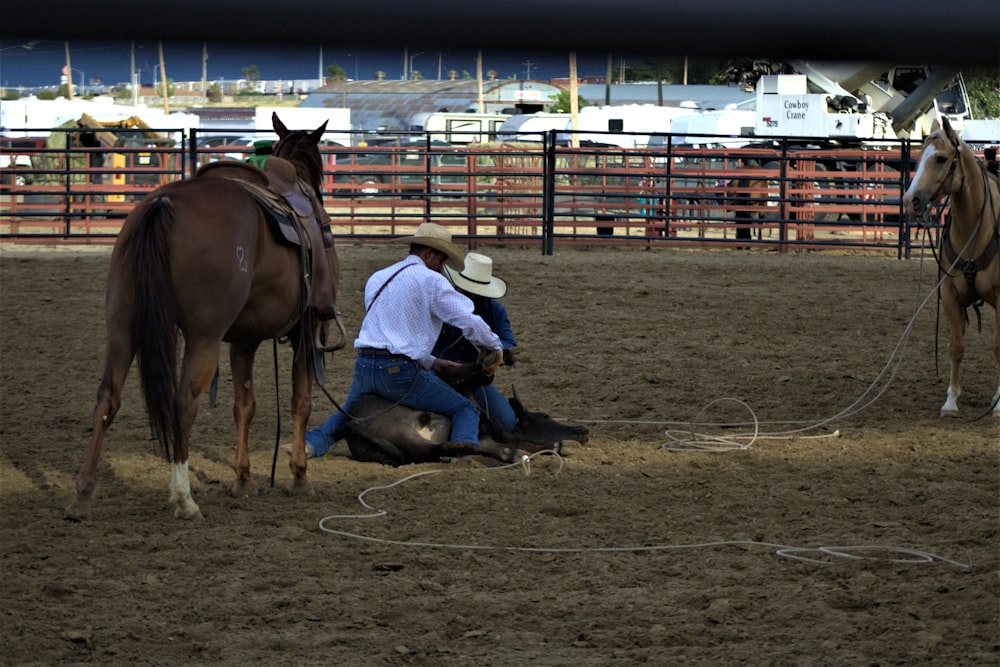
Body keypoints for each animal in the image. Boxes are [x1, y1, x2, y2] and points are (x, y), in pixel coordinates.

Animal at [67, 113, 348, 520]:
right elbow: (302, 401)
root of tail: (164, 203)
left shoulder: (244, 339)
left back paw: (83, 495)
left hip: (123, 326)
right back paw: (183, 498)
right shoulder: (306, 332)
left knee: (107, 397)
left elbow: (244, 406)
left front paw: (244, 480)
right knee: (184, 402)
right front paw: (299, 476)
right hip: (203, 337)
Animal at [904, 116, 996, 418]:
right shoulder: (950, 295)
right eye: (918, 158)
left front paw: (998, 403)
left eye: (941, 159)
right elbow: (956, 347)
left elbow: (998, 347)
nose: (910, 200)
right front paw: (951, 401)